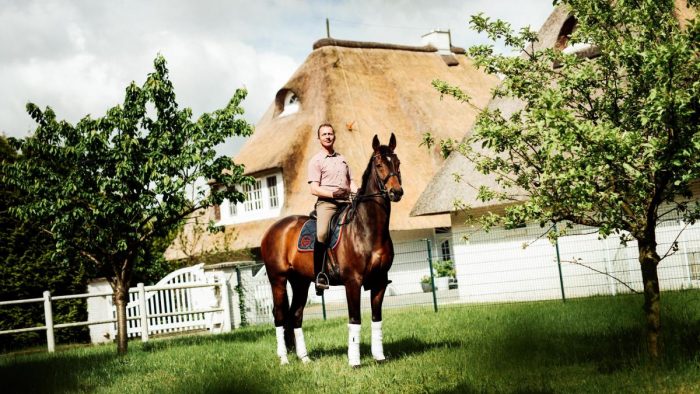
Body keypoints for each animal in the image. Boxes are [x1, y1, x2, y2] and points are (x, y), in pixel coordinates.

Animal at [260, 133, 402, 366]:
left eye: (397, 163)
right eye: (380, 164)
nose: (396, 192)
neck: (367, 228)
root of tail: (272, 230)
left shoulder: (379, 282)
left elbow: (376, 319)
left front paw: (379, 357)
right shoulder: (352, 282)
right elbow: (355, 319)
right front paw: (354, 362)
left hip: (300, 282)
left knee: (296, 315)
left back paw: (305, 358)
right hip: (278, 280)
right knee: (280, 316)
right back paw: (284, 359)